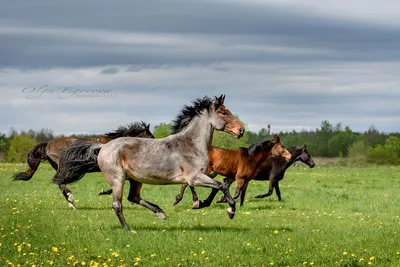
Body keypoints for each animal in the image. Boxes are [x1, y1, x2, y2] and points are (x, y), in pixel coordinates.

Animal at [53, 95, 244, 231]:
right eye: (223, 112)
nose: (240, 130)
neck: (191, 144)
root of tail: (103, 146)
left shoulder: (199, 176)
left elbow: (218, 186)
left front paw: (204, 204)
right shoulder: (195, 177)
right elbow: (222, 185)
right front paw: (230, 211)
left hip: (135, 179)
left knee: (133, 197)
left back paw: (160, 213)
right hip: (118, 179)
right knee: (117, 204)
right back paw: (129, 229)